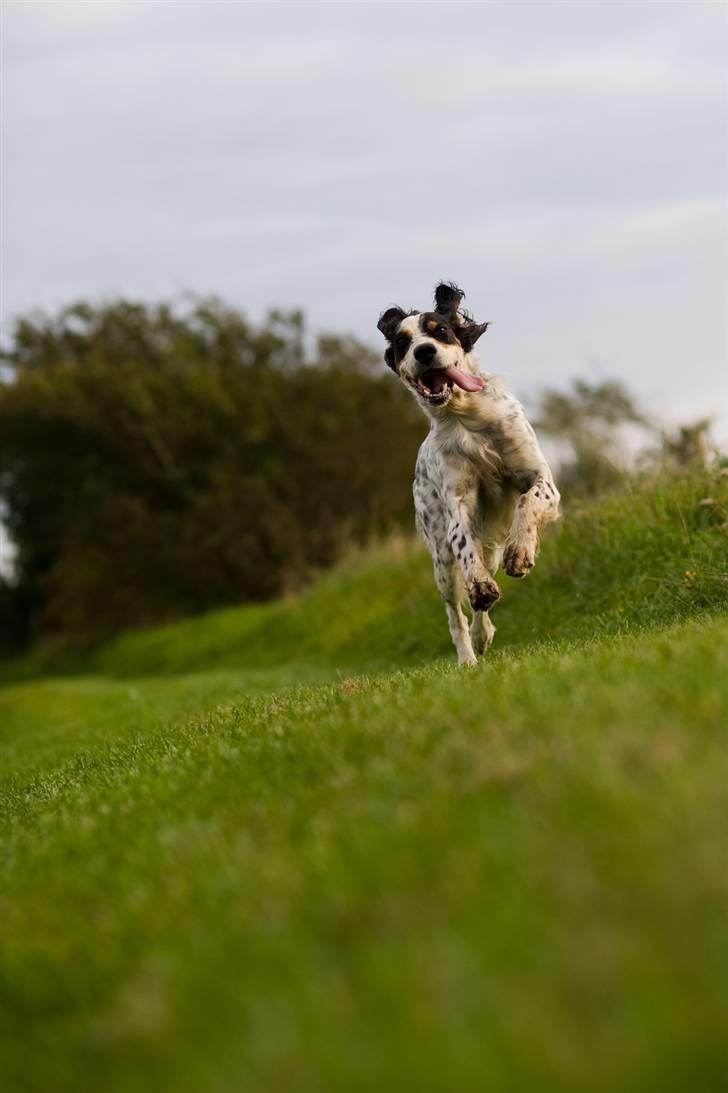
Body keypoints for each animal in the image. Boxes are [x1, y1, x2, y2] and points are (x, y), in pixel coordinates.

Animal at [376, 279, 557, 664]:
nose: (424, 352)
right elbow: (465, 548)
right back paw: (468, 655)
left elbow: (529, 501)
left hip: (488, 545)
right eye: (402, 343)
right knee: (455, 613)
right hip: (440, 559)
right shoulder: (458, 504)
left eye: (440, 331)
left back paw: (482, 633)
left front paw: (521, 552)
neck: (466, 415)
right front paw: (483, 588)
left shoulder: (540, 478)